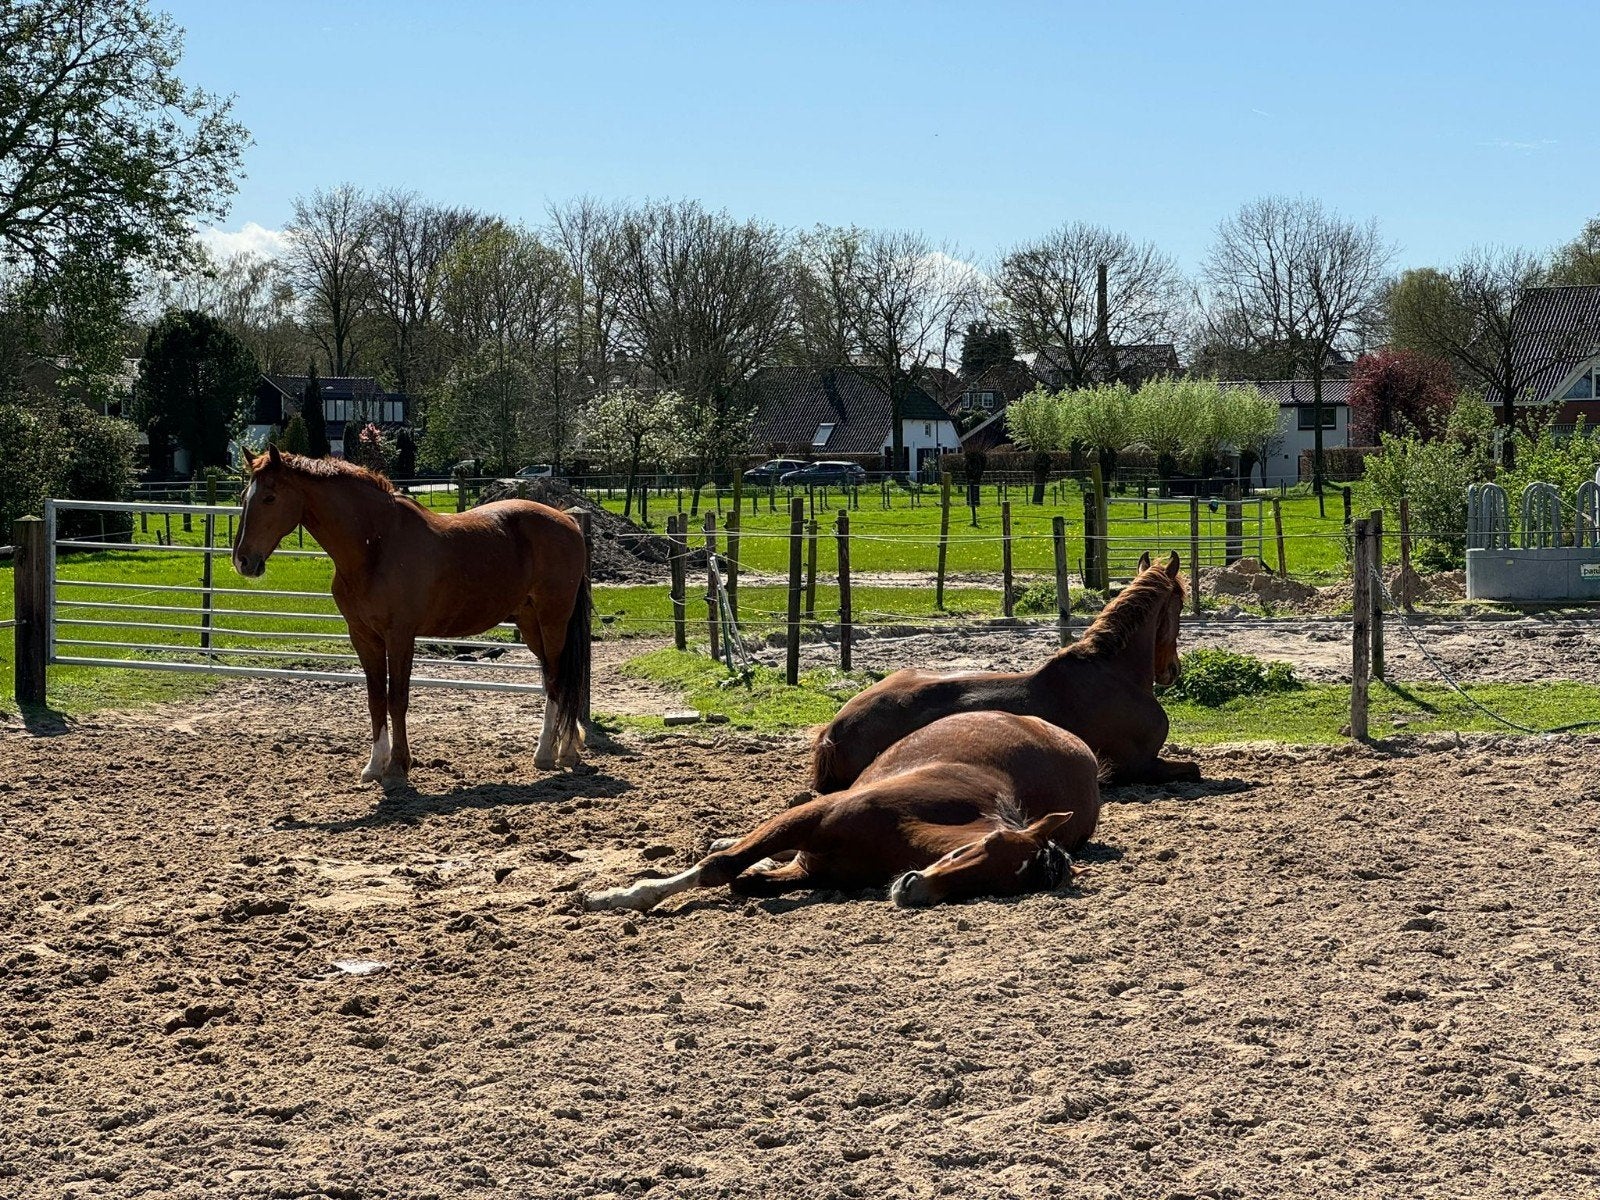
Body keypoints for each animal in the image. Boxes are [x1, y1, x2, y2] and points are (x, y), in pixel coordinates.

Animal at [231, 446, 591, 785]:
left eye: (269, 497)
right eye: (243, 496)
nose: (243, 561)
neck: (375, 546)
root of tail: (568, 522)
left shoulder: (400, 635)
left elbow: (397, 699)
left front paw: (397, 767)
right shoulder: (364, 637)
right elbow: (376, 699)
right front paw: (374, 765)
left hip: (553, 619)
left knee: (557, 678)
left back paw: (548, 753)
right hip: (530, 623)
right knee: (557, 678)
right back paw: (564, 749)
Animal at [584, 711, 1099, 912]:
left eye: (998, 885)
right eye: (987, 843)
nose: (912, 889)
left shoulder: (810, 868)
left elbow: (748, 879)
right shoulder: (811, 817)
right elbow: (720, 867)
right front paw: (615, 896)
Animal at [812, 551, 1197, 792]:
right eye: (1179, 604)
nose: (1171, 670)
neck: (1112, 672)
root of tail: (834, 730)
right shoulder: (1140, 765)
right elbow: (1193, 769)